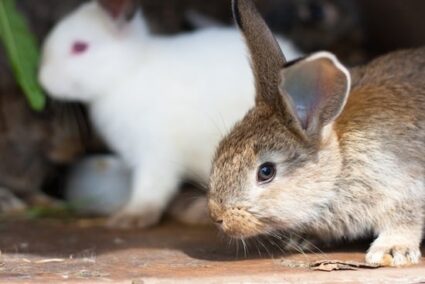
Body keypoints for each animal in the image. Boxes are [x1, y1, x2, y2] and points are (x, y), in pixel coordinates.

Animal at [38, 0, 302, 227]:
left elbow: (151, 187)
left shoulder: (156, 151)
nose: (43, 80)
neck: (126, 73)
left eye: (79, 47)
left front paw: (129, 218)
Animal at [209, 0, 424, 266]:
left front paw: (392, 252)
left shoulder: (406, 190)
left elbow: (405, 221)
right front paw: (301, 240)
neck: (340, 164)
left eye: (266, 172)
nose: (217, 216)